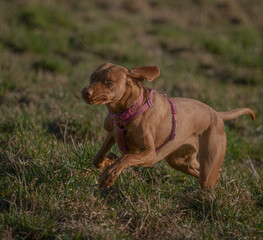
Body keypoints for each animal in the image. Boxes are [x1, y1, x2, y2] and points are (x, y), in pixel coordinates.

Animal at [82, 62, 256, 189]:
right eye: (92, 76)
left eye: (109, 82)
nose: (85, 92)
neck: (130, 110)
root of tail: (217, 115)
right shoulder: (113, 133)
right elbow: (98, 158)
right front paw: (108, 161)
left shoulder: (150, 155)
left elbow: (126, 158)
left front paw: (109, 175)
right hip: (180, 161)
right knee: (205, 172)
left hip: (208, 161)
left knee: (211, 176)